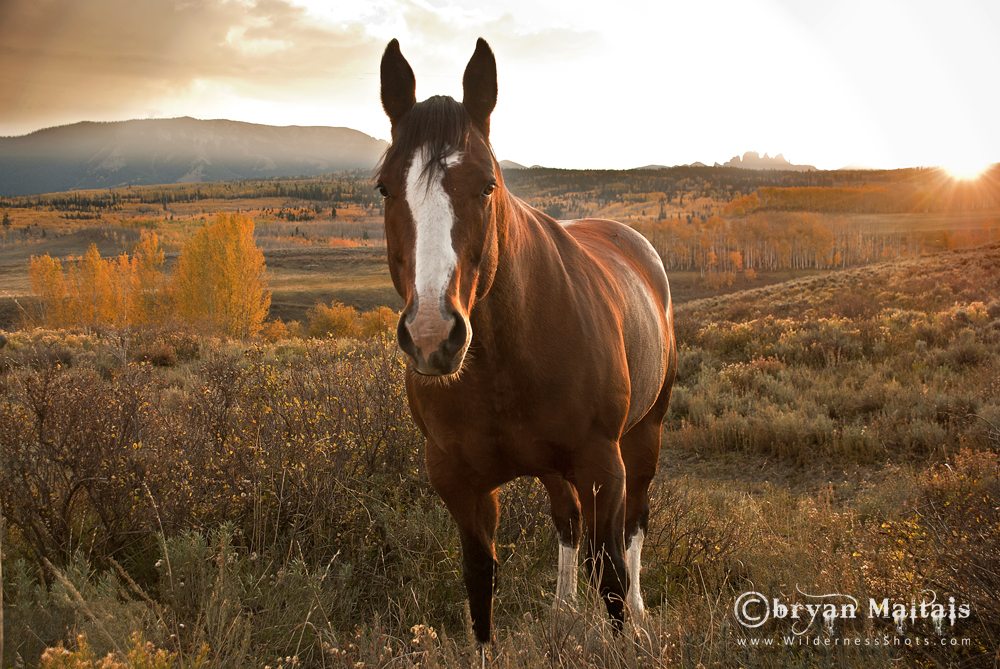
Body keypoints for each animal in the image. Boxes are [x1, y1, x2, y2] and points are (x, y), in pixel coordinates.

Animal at [376, 37, 680, 640]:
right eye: (384, 188)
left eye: (487, 185)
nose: (432, 336)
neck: (500, 365)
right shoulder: (459, 482)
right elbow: (480, 587)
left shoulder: (603, 466)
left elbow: (610, 573)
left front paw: (625, 634)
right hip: (552, 467)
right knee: (566, 523)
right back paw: (562, 608)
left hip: (646, 433)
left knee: (635, 526)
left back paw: (640, 610)